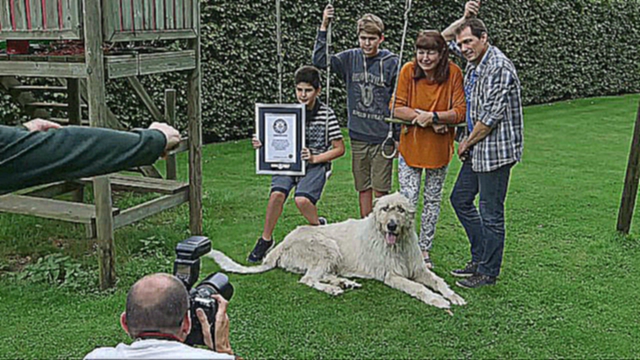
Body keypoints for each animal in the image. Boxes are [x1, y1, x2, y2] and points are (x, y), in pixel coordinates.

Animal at [210, 193, 464, 308]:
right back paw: (333, 288)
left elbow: (438, 281)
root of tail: (281, 243)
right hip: (326, 247)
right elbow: (419, 288)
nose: (391, 225)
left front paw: (453, 296)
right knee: (308, 280)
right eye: (385, 209)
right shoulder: (392, 275)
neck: (397, 243)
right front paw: (438, 300)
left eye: (400, 210)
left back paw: (344, 282)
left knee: (321, 275)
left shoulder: (419, 269)